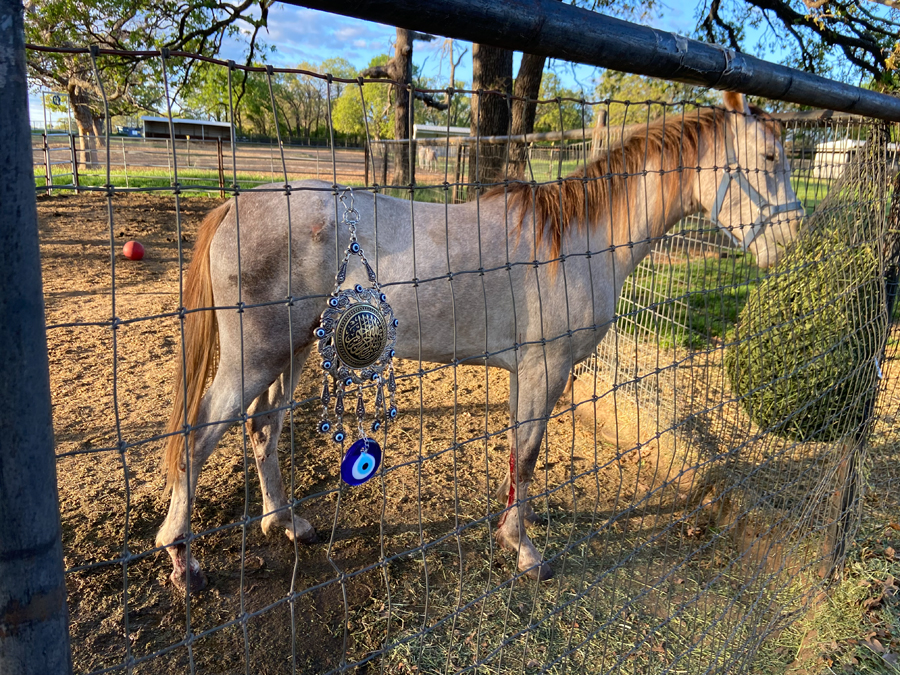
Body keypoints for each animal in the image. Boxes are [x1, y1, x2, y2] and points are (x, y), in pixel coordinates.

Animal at [155, 91, 800, 592]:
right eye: (769, 157)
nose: (793, 248)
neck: (578, 241)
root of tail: (237, 203)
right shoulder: (545, 369)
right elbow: (529, 454)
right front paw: (526, 550)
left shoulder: (526, 372)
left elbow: (519, 453)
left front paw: (512, 535)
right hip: (254, 358)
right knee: (196, 439)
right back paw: (184, 561)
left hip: (288, 355)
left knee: (262, 429)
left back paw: (285, 522)